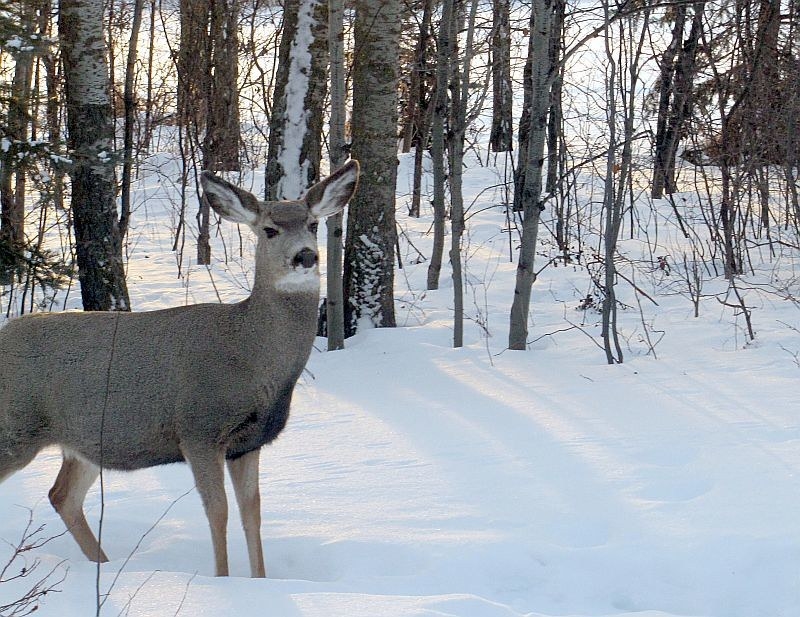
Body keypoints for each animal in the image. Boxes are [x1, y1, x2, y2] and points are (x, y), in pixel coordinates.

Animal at [0, 159, 360, 576]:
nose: (305, 256)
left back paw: (104, 567)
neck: (251, 355)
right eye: (269, 229)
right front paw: (223, 579)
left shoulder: (247, 443)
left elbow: (252, 513)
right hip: (16, 427)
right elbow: (218, 512)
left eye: (314, 225)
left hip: (83, 441)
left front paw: (260, 580)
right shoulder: (198, 429)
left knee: (63, 496)